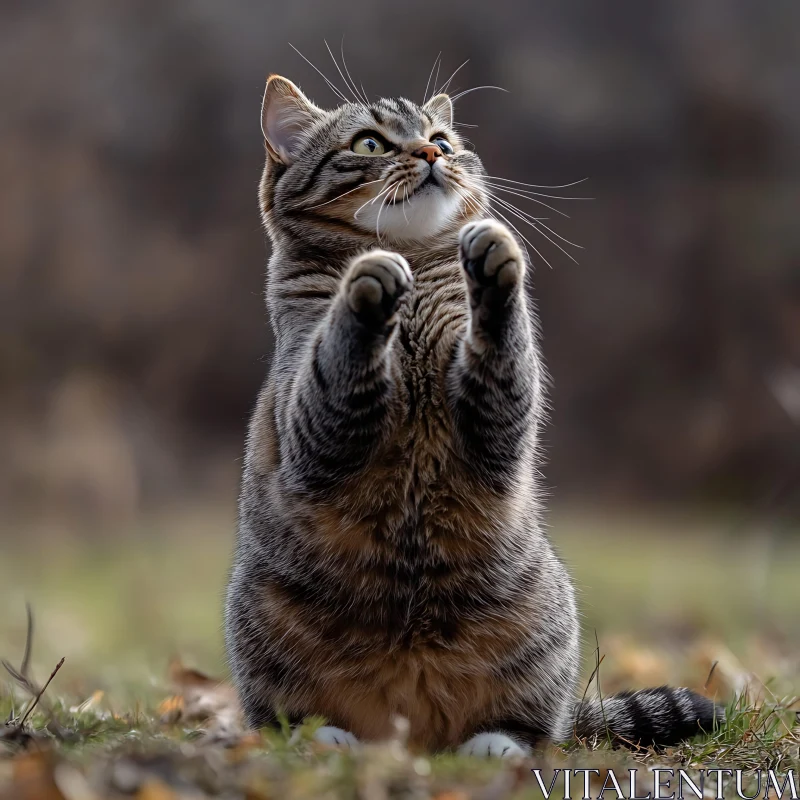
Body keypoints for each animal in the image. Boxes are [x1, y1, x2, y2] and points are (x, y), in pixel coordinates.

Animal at [222, 73, 720, 756]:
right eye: (371, 143)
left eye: (442, 138)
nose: (433, 154)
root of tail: (407, 731)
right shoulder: (313, 420)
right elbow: (340, 349)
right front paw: (367, 279)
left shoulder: (494, 408)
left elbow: (501, 345)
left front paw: (492, 260)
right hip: (260, 631)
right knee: (290, 720)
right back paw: (327, 741)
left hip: (542, 620)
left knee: (535, 730)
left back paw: (493, 745)